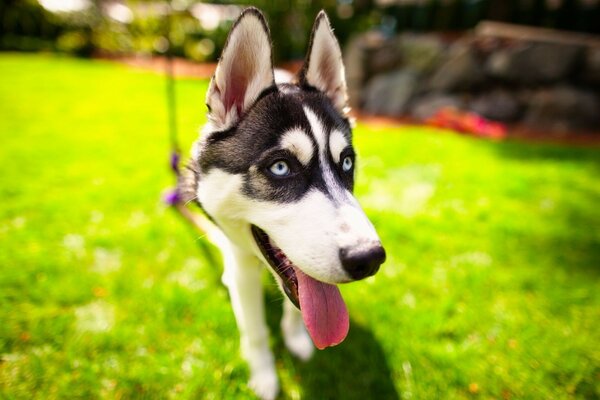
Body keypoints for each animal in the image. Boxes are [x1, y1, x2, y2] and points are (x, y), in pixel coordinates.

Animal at [184, 7, 384, 400]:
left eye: (346, 163)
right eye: (280, 168)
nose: (369, 258)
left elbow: (300, 305)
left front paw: (296, 339)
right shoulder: (241, 266)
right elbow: (255, 330)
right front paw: (264, 376)